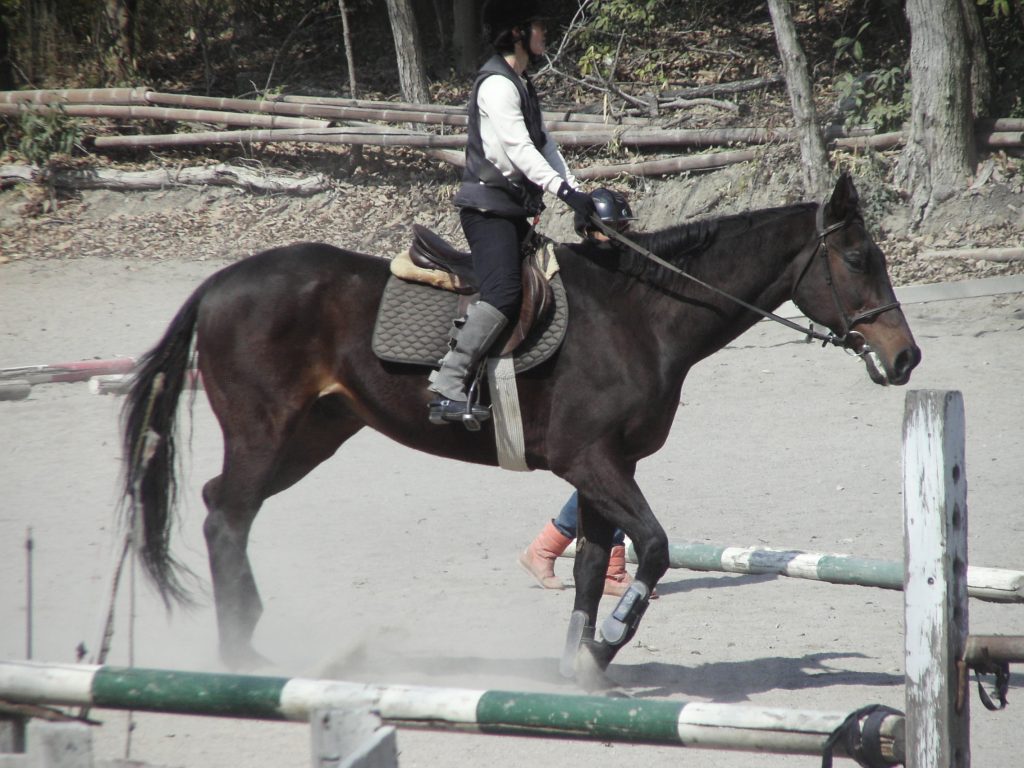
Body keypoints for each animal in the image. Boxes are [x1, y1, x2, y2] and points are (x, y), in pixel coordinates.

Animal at [121, 173, 920, 689]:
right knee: (226, 513)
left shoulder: (609, 470)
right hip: (268, 434)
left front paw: (579, 667)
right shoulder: (590, 461)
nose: (907, 357)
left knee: (226, 506)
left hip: (312, 437)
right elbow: (655, 548)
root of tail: (221, 282)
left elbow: (595, 566)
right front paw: (604, 649)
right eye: (859, 259)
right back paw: (237, 653)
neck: (637, 315)